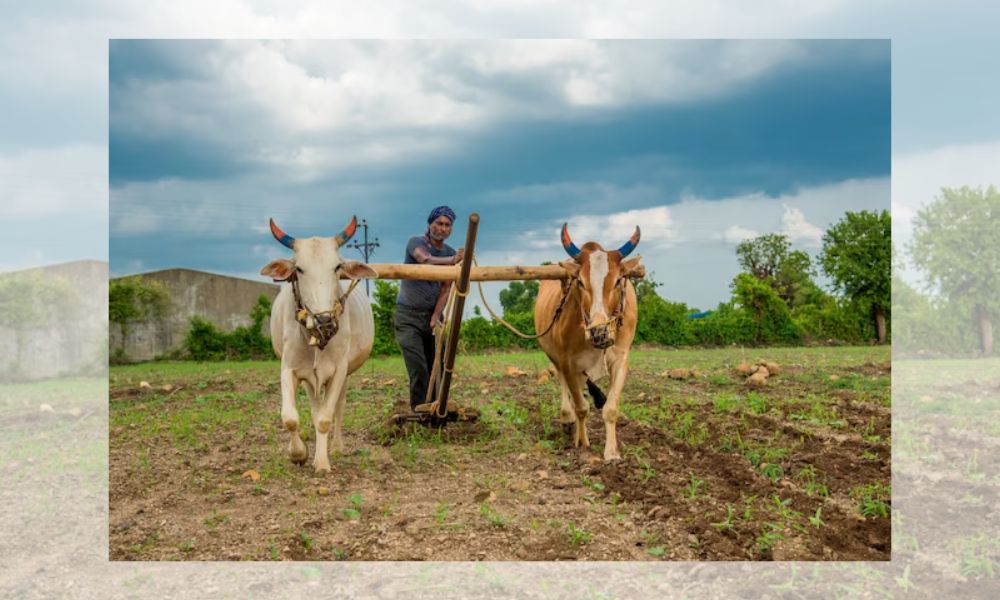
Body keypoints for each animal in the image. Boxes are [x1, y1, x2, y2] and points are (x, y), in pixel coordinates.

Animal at [260, 216, 376, 474]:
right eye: (299, 269)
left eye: (337, 267)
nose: (325, 319)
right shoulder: (290, 369)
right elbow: (291, 417)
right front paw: (298, 454)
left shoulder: (339, 371)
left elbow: (325, 419)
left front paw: (322, 462)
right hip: (309, 379)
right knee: (315, 406)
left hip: (346, 374)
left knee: (338, 407)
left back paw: (337, 447)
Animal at [536, 223, 644, 462]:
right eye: (580, 282)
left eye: (617, 281)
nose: (599, 331)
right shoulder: (568, 362)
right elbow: (581, 407)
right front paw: (583, 444)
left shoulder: (621, 359)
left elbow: (610, 408)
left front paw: (612, 453)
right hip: (555, 358)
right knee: (565, 387)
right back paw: (567, 418)